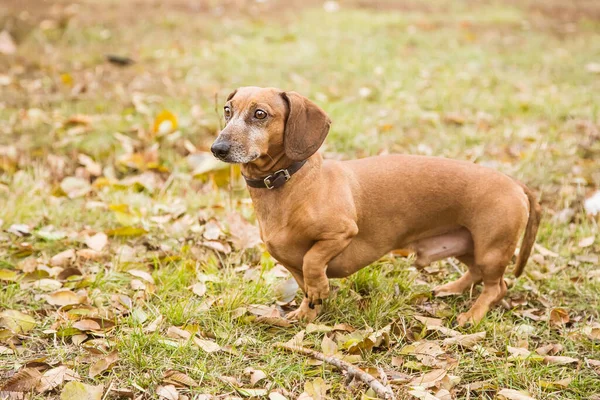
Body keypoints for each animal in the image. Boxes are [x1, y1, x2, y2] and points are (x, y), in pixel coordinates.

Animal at [212, 86, 544, 326]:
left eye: (260, 114)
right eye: (227, 111)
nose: (218, 149)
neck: (289, 185)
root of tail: (515, 183)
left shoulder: (340, 234)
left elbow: (313, 262)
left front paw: (319, 291)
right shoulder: (290, 262)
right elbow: (305, 285)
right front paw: (307, 314)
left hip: (491, 248)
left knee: (496, 287)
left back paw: (472, 316)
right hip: (467, 244)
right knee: (476, 273)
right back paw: (451, 289)